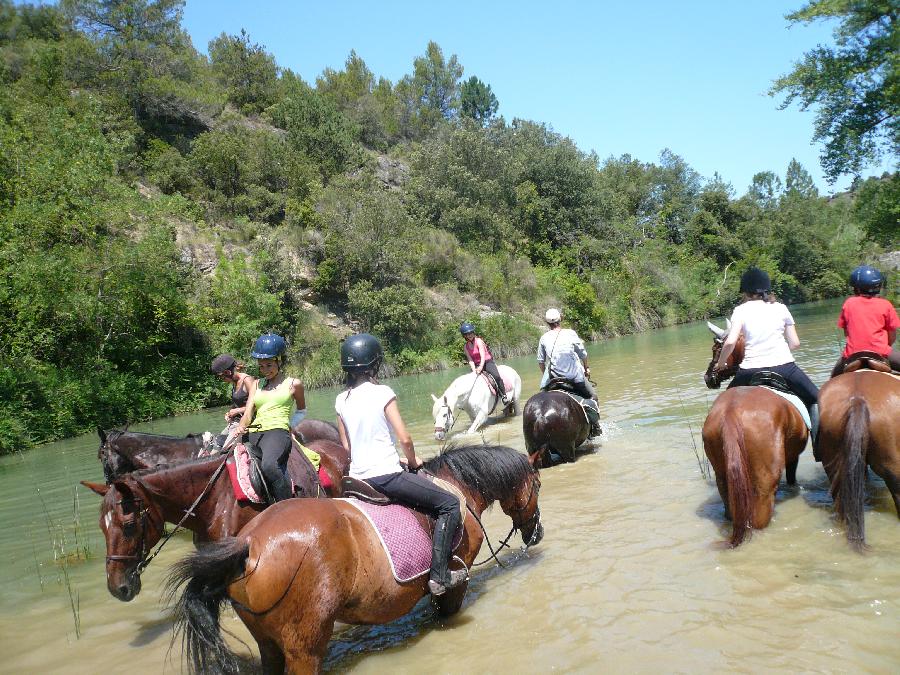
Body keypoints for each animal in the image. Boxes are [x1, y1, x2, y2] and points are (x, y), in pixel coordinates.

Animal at [164, 446, 540, 672]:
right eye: (536, 485)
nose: (536, 534)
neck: (457, 489)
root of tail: (250, 543)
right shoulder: (453, 587)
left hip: (267, 643)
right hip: (304, 648)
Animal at [704, 324, 808, 548]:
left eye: (717, 350)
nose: (708, 378)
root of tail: (731, 412)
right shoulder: (793, 457)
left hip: (723, 478)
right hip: (764, 486)